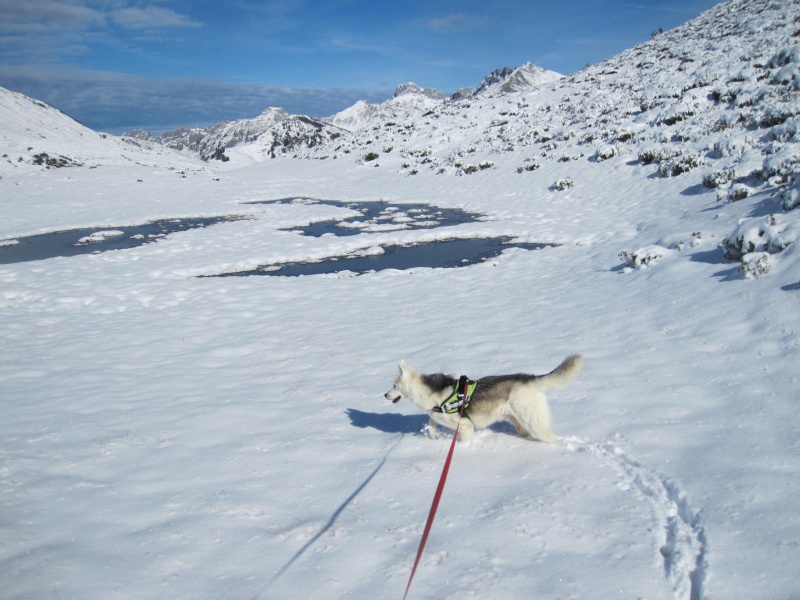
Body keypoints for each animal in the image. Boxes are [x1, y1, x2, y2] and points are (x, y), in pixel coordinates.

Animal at [386, 354, 580, 442]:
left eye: (394, 385)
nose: (385, 395)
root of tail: (529, 378)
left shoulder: (465, 426)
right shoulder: (438, 416)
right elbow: (431, 422)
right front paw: (433, 435)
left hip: (534, 420)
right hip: (517, 420)